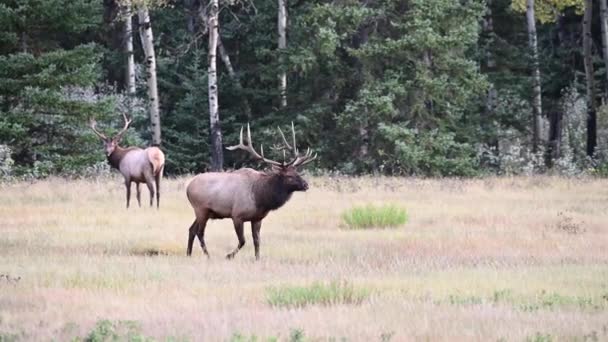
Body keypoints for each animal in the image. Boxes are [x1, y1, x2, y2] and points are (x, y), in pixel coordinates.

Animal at [188, 123, 316, 260]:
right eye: (289, 176)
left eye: (297, 172)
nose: (306, 185)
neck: (260, 198)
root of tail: (187, 187)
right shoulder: (237, 215)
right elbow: (243, 240)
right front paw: (229, 255)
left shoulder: (257, 218)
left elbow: (257, 240)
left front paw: (257, 258)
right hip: (201, 209)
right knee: (200, 232)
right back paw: (208, 255)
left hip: (203, 212)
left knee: (191, 229)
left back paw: (188, 253)